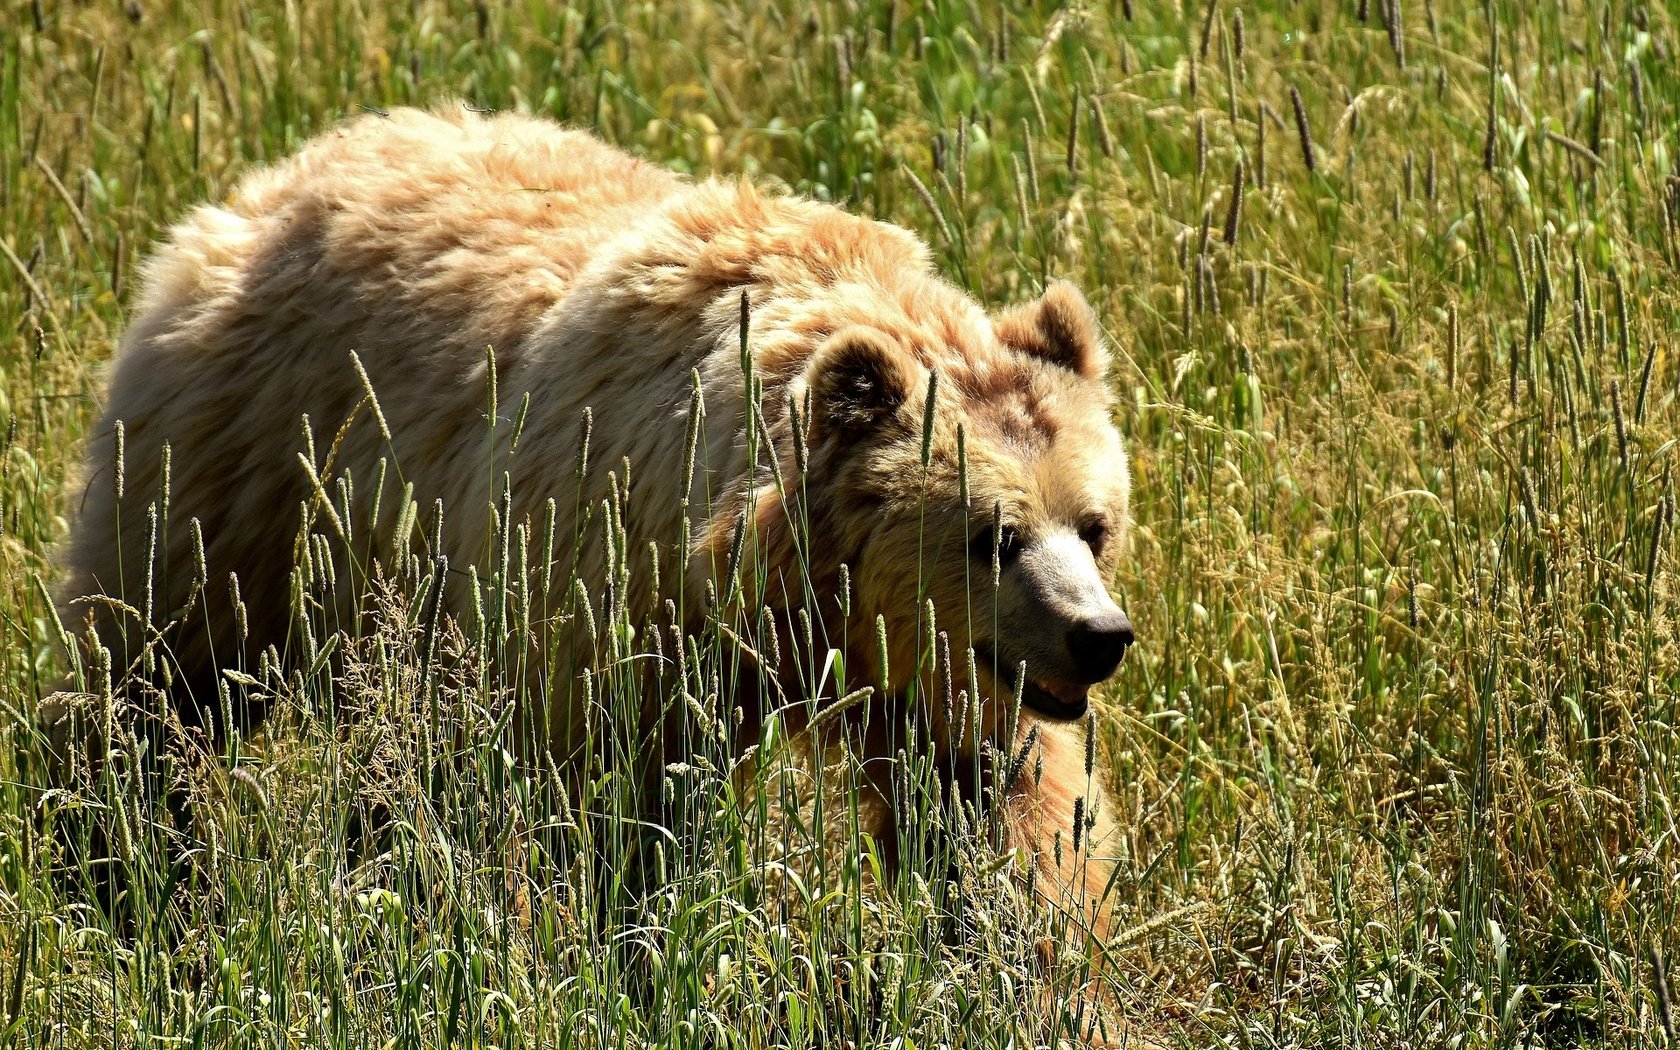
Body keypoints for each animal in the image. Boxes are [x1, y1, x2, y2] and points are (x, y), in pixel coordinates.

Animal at [62, 108, 1142, 947]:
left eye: (1094, 525)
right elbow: (615, 806)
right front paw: (627, 942)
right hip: (243, 475)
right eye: (993, 535)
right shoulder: (611, 597)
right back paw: (125, 866)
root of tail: (288, 170)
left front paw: (1026, 961)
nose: (1098, 637)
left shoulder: (949, 681)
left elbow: (1002, 812)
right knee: (156, 678)